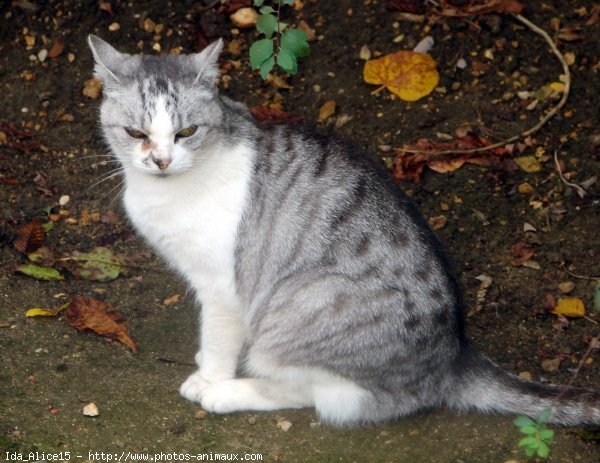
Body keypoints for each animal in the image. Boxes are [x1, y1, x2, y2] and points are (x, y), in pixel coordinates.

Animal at [88, 34, 600, 428]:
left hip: (296, 308)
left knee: (321, 394)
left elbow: (217, 341)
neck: (165, 190)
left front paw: (211, 377)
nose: (161, 160)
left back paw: (230, 394)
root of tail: (456, 353)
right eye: (136, 134)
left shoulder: (222, 288)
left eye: (187, 132)